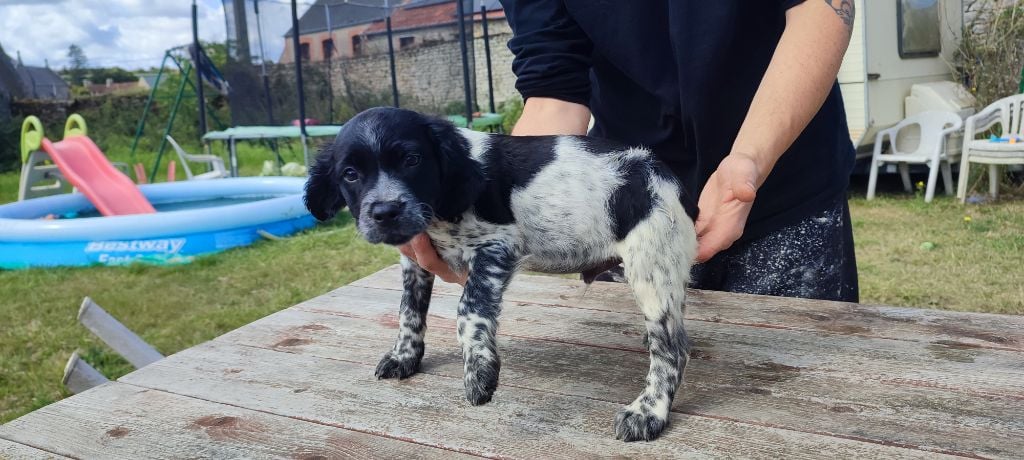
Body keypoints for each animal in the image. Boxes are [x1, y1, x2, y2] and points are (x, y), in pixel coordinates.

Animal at [304, 107, 699, 442]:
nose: (385, 212)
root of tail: (663, 175)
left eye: (411, 160)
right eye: (350, 174)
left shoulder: (496, 245)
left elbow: (468, 311)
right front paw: (404, 357)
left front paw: (479, 371)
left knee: (672, 350)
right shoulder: (415, 262)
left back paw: (648, 412)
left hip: (650, 266)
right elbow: (408, 311)